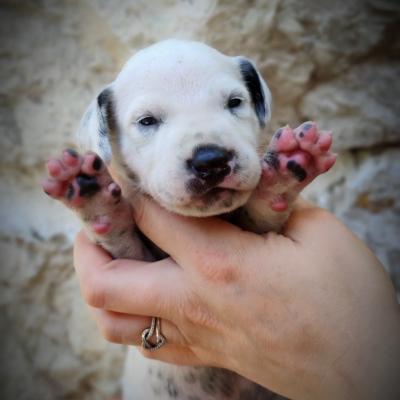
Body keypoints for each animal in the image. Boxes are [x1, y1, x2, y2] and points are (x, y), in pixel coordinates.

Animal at [42, 38, 336, 400]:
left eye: (235, 102)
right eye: (147, 121)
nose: (211, 160)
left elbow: (262, 215)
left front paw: (283, 173)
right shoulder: (133, 263)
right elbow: (121, 239)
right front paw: (94, 198)